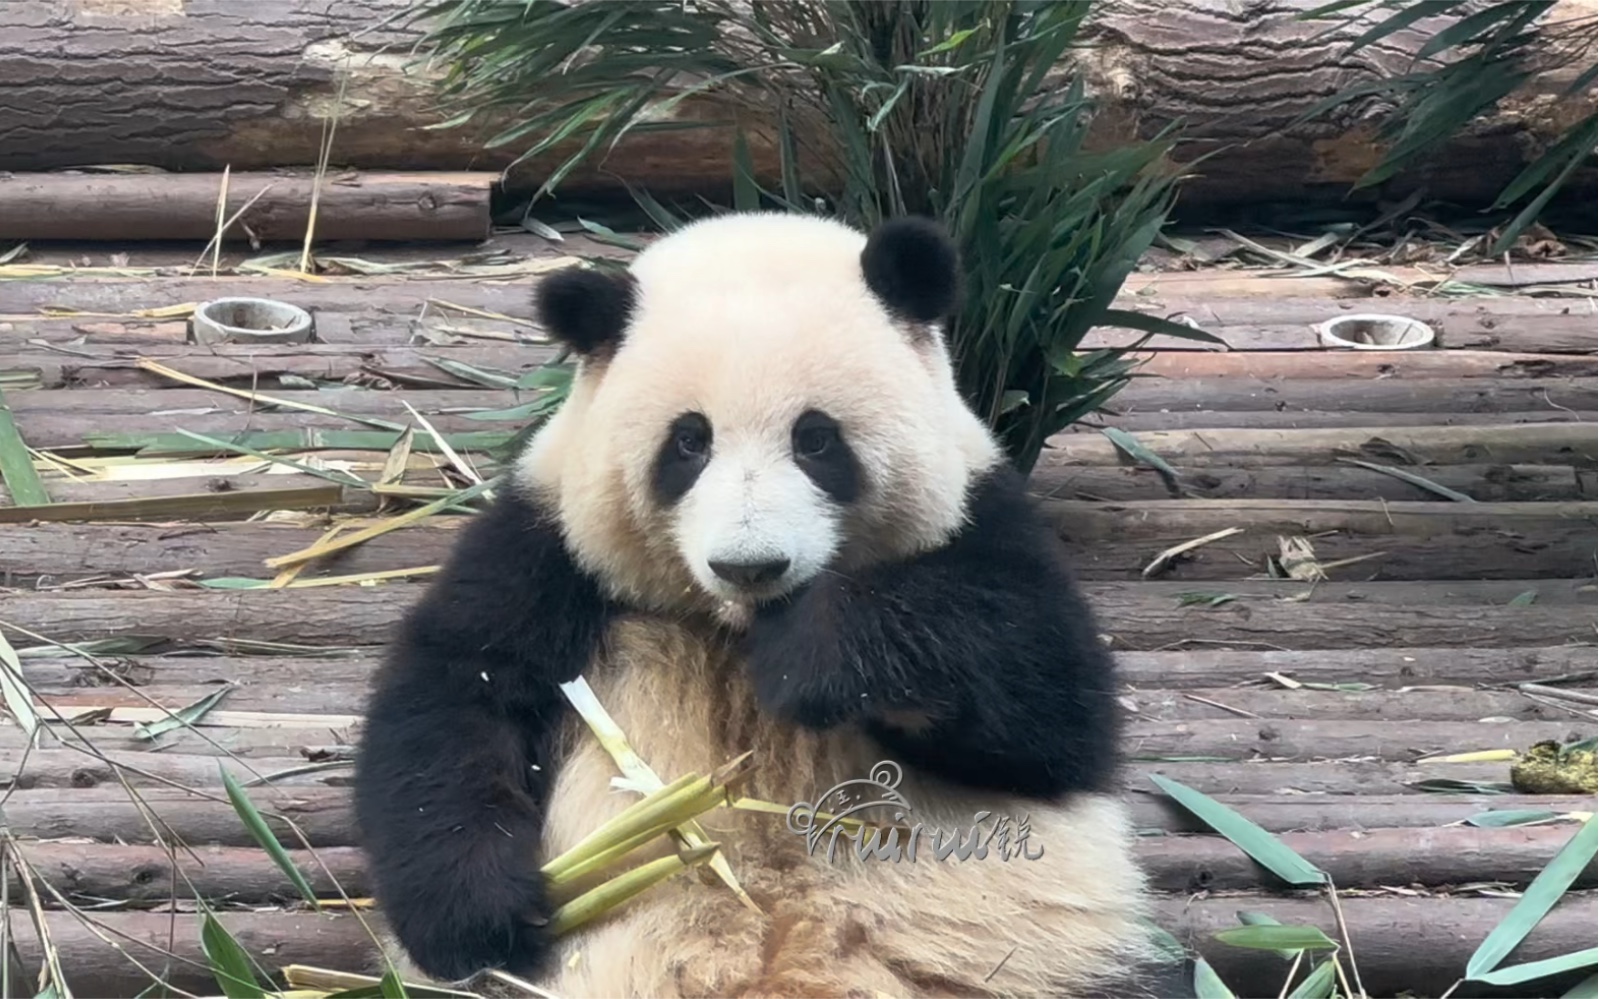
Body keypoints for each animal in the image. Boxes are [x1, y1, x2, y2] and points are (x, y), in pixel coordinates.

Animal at [350, 210, 1183, 997]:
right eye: (688, 443)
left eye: (816, 439)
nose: (749, 565)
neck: (733, 627)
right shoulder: (550, 546)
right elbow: (453, 698)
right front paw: (485, 915)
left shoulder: (982, 517)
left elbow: (1050, 701)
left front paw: (813, 658)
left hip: (1047, 957)